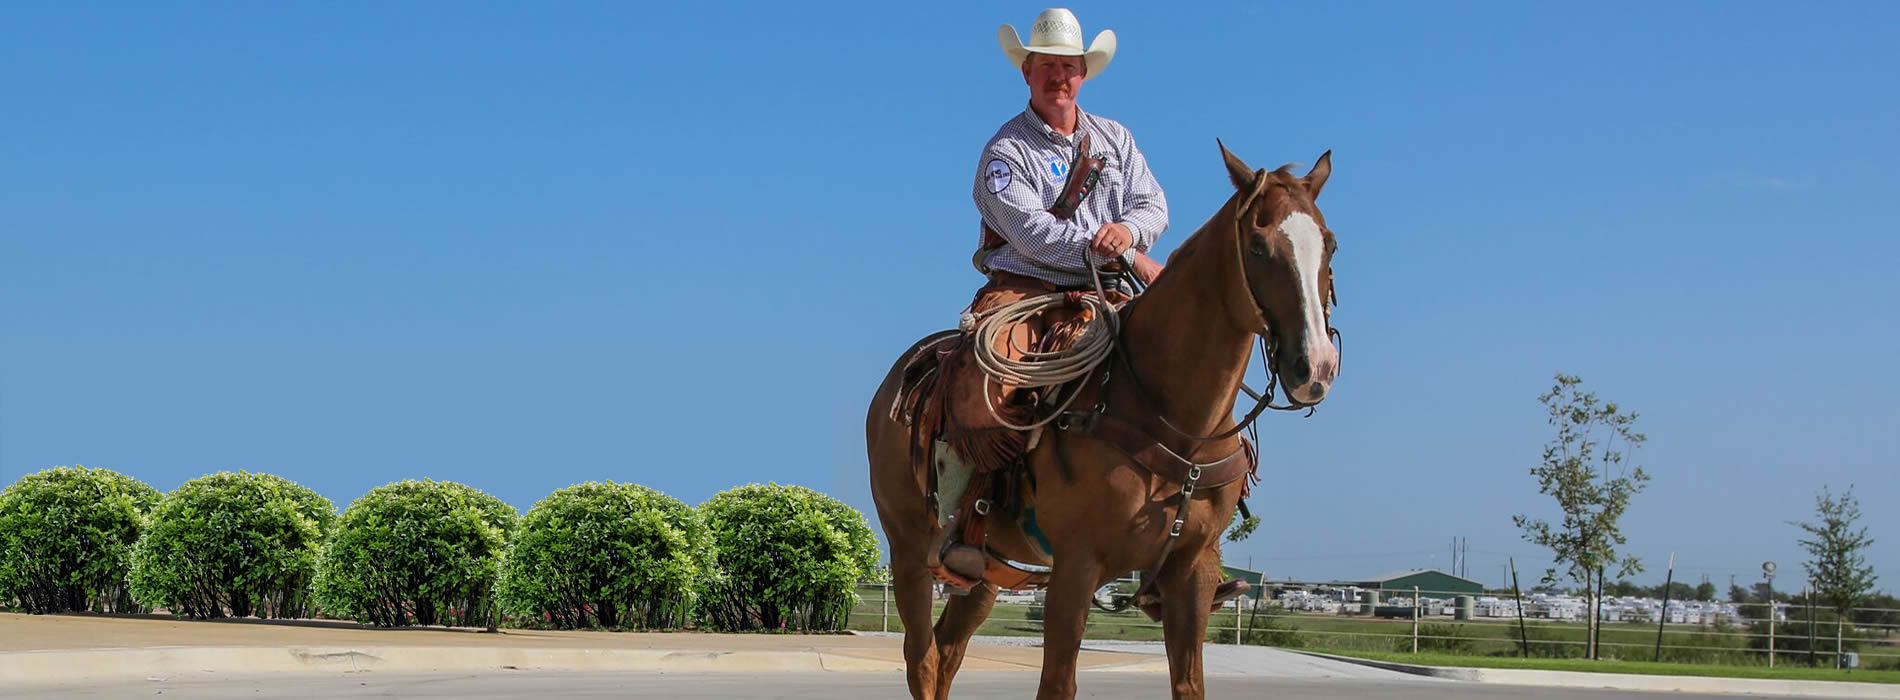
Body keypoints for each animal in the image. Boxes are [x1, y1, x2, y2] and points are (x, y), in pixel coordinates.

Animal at [866, 139, 1337, 696]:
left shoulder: (1194, 570)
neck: (1175, 420)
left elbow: (1189, 683)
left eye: (1330, 245)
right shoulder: (1076, 566)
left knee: (949, 649)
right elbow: (1057, 684)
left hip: (985, 572)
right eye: (1260, 248)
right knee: (922, 658)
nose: (1315, 367)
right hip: (910, 550)